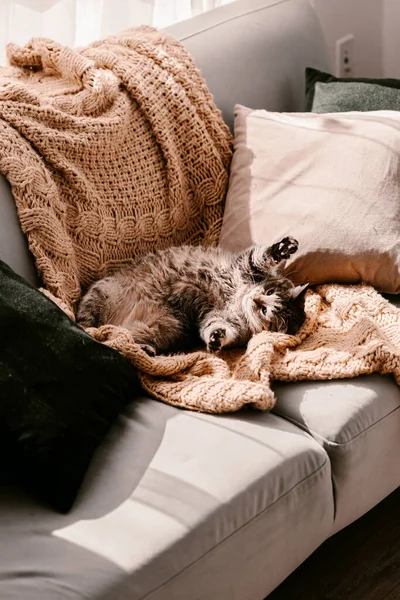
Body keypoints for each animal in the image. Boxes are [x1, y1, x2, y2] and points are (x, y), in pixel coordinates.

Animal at [76, 236, 308, 356]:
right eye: (268, 293)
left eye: (265, 311)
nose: (256, 299)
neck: (237, 298)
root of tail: (114, 323)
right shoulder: (245, 267)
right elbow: (261, 256)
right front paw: (284, 247)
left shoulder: (220, 318)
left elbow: (215, 327)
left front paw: (217, 338)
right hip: (100, 293)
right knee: (89, 327)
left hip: (169, 327)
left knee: (120, 338)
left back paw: (144, 349)